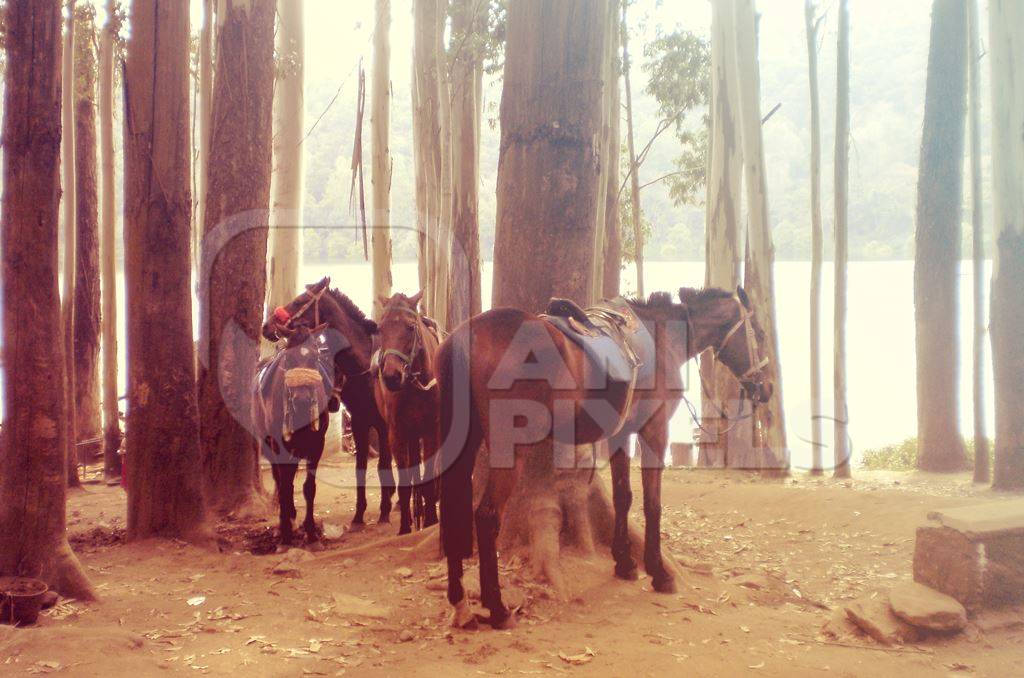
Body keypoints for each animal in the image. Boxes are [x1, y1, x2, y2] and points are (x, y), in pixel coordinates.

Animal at [260, 278, 395, 528]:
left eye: (299, 301)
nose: (266, 326)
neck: (365, 366)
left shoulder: (383, 425)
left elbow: (383, 465)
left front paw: (384, 512)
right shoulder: (360, 422)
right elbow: (360, 467)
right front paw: (359, 515)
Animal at [374, 292, 442, 536]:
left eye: (411, 327)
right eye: (380, 328)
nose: (392, 376)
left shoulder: (431, 430)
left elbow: (429, 477)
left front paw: (431, 519)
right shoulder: (398, 434)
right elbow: (404, 482)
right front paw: (405, 526)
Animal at [436, 286, 770, 630]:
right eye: (759, 333)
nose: (767, 388)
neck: (663, 339)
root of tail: (466, 336)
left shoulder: (621, 435)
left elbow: (623, 496)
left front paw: (624, 562)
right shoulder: (654, 430)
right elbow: (652, 504)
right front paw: (659, 571)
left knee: (451, 511)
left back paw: (460, 604)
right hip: (509, 449)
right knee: (487, 516)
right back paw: (498, 608)